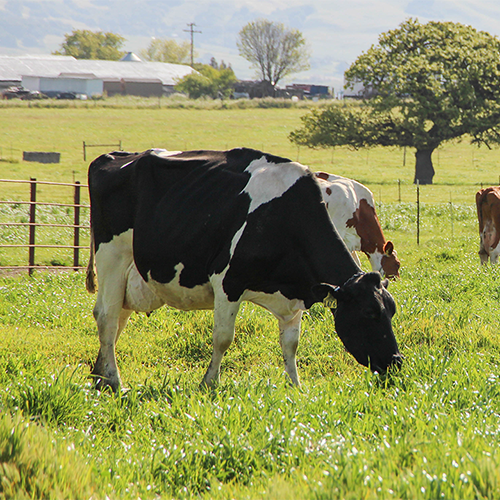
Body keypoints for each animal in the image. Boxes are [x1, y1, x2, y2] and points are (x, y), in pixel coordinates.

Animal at [84, 148, 400, 390]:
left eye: (392, 311)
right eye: (369, 313)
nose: (396, 361)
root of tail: (114, 156)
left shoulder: (297, 293)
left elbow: (291, 344)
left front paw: (296, 387)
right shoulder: (227, 282)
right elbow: (223, 338)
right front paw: (209, 384)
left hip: (130, 275)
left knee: (118, 318)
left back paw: (100, 376)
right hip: (112, 256)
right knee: (107, 317)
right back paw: (114, 381)